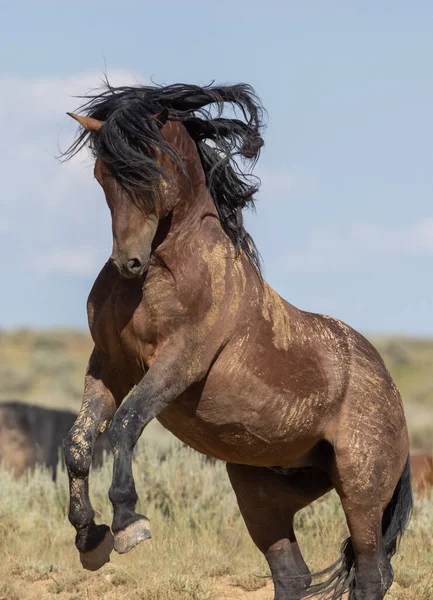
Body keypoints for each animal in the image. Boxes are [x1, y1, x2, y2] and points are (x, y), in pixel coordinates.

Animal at [63, 81, 412, 600]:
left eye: (150, 168)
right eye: (102, 173)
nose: (129, 261)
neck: (168, 271)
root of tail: (391, 391)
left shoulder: (179, 362)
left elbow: (124, 425)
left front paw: (128, 521)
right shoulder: (109, 364)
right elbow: (80, 441)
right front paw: (89, 536)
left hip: (361, 491)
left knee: (371, 574)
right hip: (263, 496)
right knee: (293, 575)